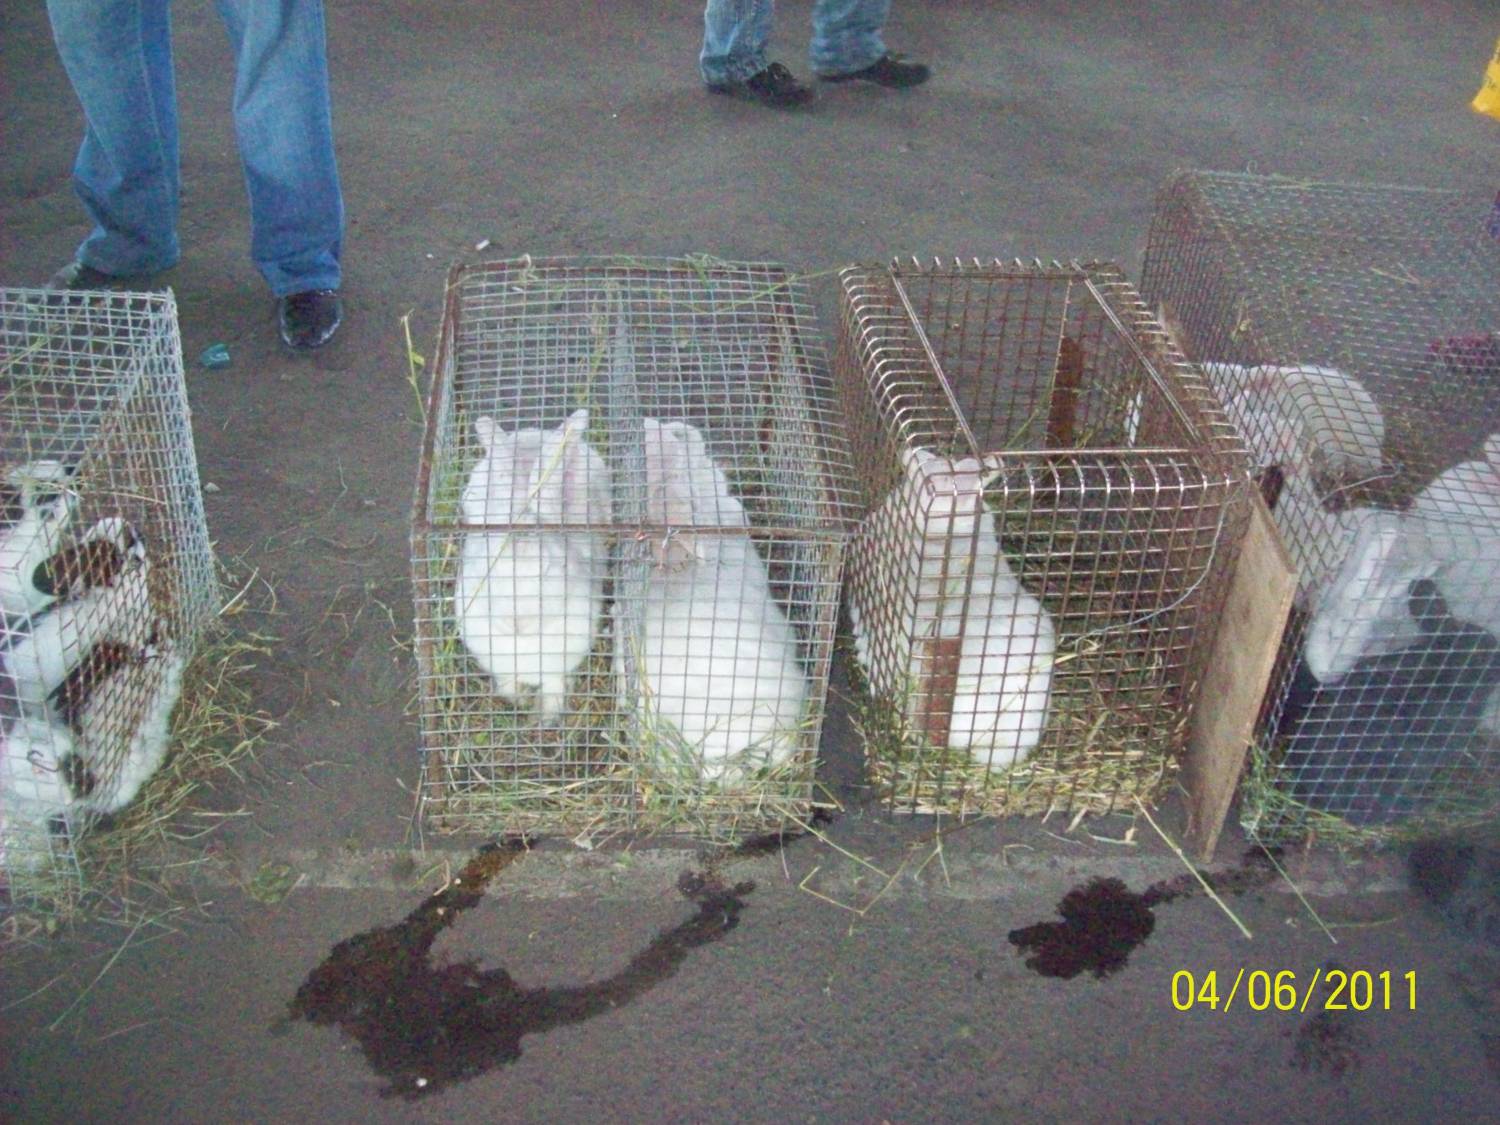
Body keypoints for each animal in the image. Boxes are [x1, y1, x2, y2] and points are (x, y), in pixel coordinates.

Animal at [453, 408, 611, 722]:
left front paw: (544, 717)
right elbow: (507, 686)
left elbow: (553, 689)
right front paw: (521, 703)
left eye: (554, 567)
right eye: (487, 566)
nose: (517, 623)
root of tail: (533, 432)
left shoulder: (559, 664)